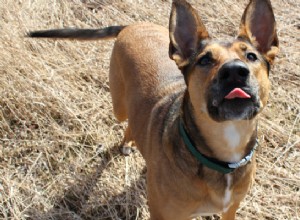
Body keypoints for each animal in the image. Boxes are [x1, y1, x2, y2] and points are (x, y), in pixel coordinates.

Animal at [28, 0, 278, 218]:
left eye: (251, 56)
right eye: (205, 60)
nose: (235, 71)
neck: (225, 151)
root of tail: (132, 25)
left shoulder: (230, 210)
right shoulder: (163, 214)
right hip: (119, 106)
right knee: (127, 118)